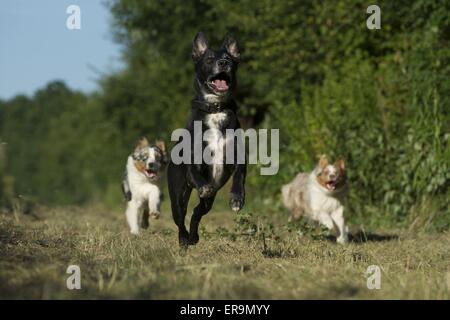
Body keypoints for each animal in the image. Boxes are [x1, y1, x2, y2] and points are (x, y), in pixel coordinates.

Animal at [168, 32, 248, 248]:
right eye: (210, 59)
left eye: (229, 59)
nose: (223, 62)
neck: (215, 108)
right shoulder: (194, 159)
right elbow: (196, 173)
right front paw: (203, 186)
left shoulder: (237, 156)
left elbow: (239, 176)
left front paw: (237, 199)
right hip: (177, 194)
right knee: (180, 217)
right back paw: (184, 240)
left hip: (208, 203)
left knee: (197, 212)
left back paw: (194, 237)